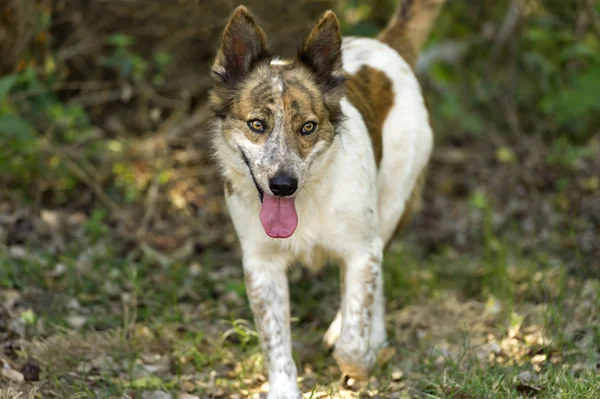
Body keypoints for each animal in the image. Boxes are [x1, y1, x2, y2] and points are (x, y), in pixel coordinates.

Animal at [209, 1, 442, 398]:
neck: (307, 199)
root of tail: (384, 44)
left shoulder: (362, 250)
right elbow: (275, 343)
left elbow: (352, 339)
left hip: (392, 206)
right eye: (257, 125)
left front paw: (364, 359)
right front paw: (284, 389)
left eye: (308, 127)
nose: (282, 185)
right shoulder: (261, 265)